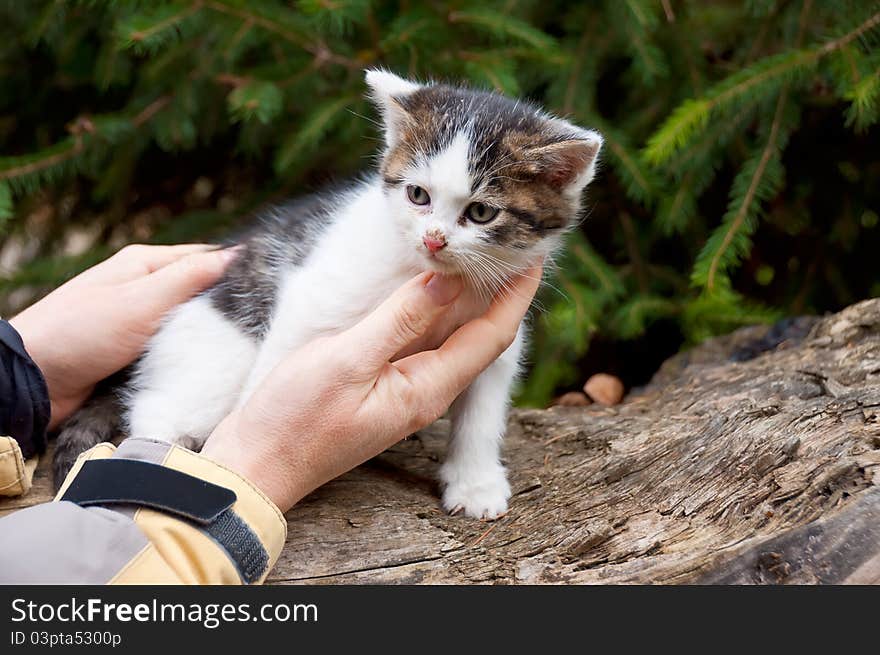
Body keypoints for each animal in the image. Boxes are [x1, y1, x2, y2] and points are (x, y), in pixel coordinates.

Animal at [49, 72, 600, 520]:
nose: (433, 239)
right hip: (211, 357)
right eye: (417, 196)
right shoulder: (315, 294)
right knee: (158, 409)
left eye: (482, 212)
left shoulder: (497, 334)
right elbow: (273, 374)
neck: (429, 274)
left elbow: (483, 410)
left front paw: (476, 481)